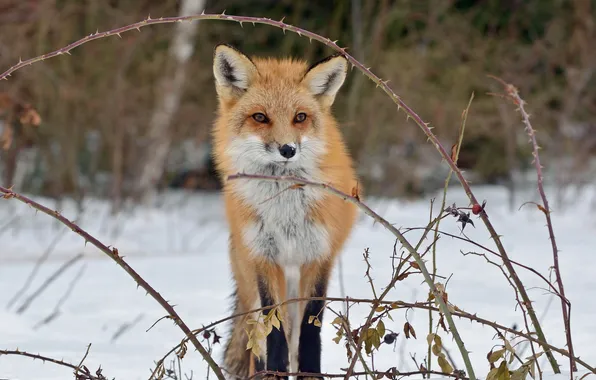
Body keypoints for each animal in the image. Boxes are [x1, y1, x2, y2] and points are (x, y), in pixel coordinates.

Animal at [210, 43, 358, 378]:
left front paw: (311, 373)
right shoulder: (264, 259)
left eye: (300, 117)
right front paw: (274, 372)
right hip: (253, 283)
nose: (288, 149)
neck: (285, 211)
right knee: (259, 341)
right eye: (260, 117)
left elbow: (310, 331)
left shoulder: (319, 256)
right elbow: (273, 332)